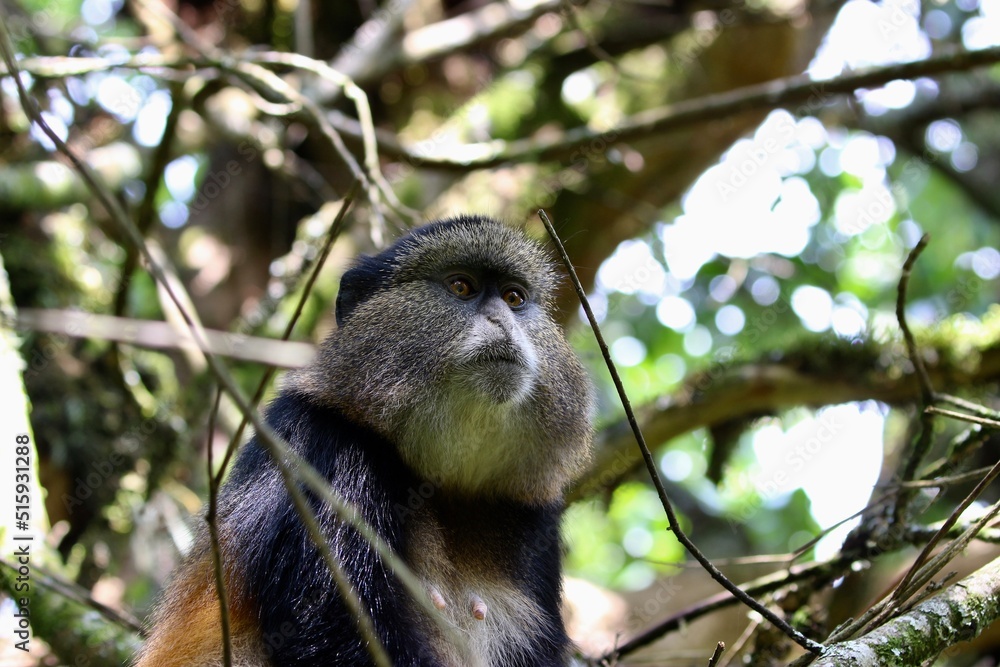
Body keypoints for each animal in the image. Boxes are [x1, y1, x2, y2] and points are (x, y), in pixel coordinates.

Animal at [135, 214, 594, 667]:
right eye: (461, 287)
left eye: (514, 298)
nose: (503, 321)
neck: (440, 482)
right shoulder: (319, 450)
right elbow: (331, 626)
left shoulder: (536, 518)